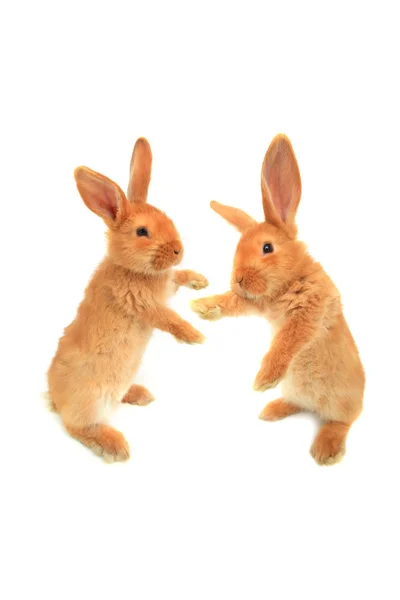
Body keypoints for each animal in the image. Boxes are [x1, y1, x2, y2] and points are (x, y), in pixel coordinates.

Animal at [48, 138, 208, 462]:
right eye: (142, 232)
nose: (178, 250)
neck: (132, 269)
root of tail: (54, 397)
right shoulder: (142, 304)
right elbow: (169, 319)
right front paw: (194, 336)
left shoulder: (166, 288)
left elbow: (178, 278)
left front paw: (199, 280)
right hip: (89, 401)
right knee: (76, 427)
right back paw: (114, 446)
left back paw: (139, 394)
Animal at [191, 134, 366, 466]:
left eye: (267, 248)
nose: (238, 279)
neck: (289, 282)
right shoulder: (257, 304)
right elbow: (234, 303)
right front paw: (203, 306)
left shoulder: (309, 313)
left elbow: (286, 342)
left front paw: (263, 379)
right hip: (298, 392)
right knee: (300, 405)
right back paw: (272, 410)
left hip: (342, 402)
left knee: (342, 422)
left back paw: (326, 450)